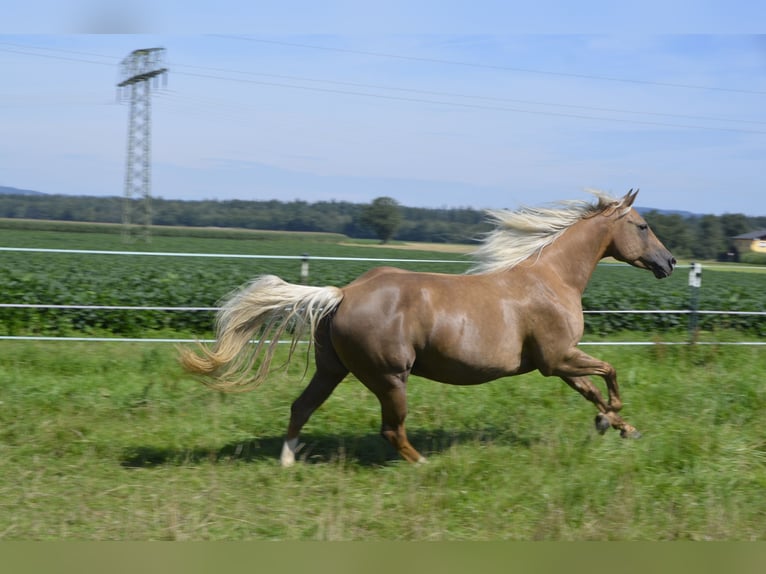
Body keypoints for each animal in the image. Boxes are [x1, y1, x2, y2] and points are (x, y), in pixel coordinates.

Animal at [180, 190, 680, 468]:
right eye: (642, 225)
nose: (670, 262)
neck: (551, 278)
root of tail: (343, 293)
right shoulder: (557, 358)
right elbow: (610, 373)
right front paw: (613, 419)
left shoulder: (557, 363)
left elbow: (593, 391)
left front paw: (618, 426)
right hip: (389, 377)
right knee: (391, 431)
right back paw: (424, 465)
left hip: (332, 369)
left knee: (301, 407)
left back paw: (287, 462)